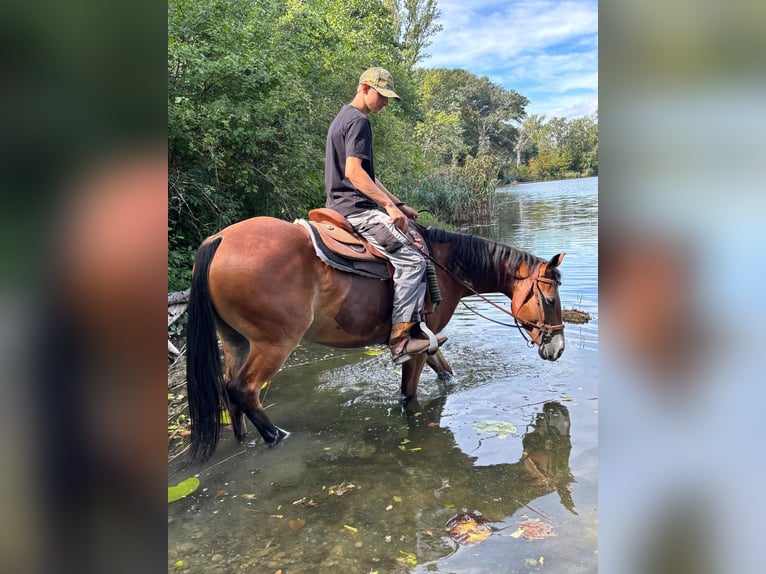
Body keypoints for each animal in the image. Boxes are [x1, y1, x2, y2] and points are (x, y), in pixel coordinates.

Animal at [185, 216, 565, 463]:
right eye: (549, 299)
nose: (558, 348)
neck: (445, 265)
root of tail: (218, 240)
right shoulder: (416, 345)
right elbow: (408, 395)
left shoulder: (426, 339)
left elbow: (446, 372)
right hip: (274, 343)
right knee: (243, 388)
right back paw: (277, 437)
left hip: (236, 341)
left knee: (229, 389)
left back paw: (243, 439)